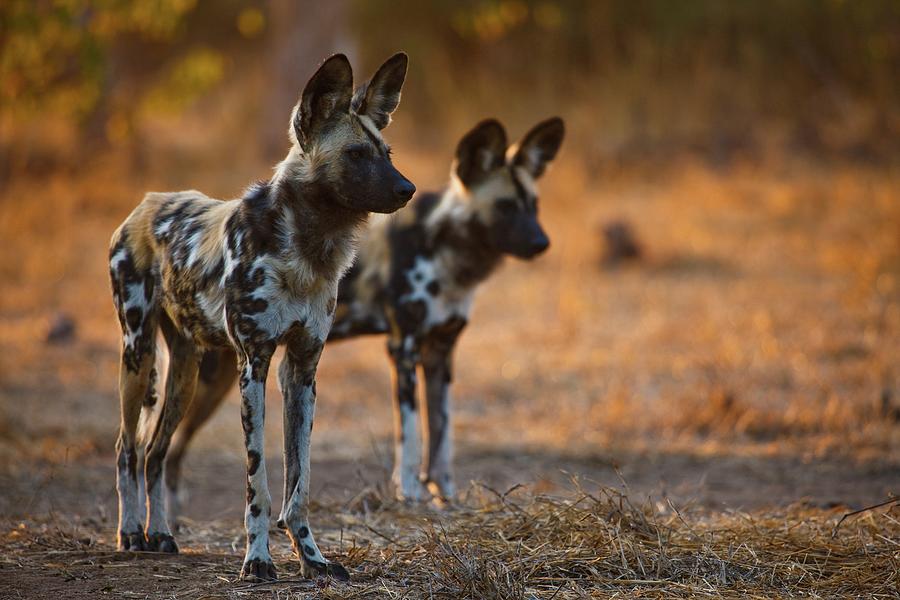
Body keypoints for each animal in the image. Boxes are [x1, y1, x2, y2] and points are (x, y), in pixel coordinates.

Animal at [109, 52, 414, 580]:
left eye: (387, 152)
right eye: (357, 154)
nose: (408, 188)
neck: (308, 247)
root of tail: (146, 204)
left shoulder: (303, 370)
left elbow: (299, 483)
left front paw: (312, 558)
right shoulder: (253, 365)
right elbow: (259, 483)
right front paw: (257, 560)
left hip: (185, 373)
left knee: (155, 452)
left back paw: (161, 535)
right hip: (139, 354)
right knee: (128, 447)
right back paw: (131, 533)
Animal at [155, 116, 564, 506]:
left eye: (534, 206)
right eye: (505, 207)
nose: (542, 243)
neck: (444, 250)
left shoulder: (440, 353)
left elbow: (442, 432)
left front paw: (445, 495)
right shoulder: (403, 348)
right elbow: (410, 435)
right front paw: (410, 494)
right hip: (209, 379)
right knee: (166, 450)